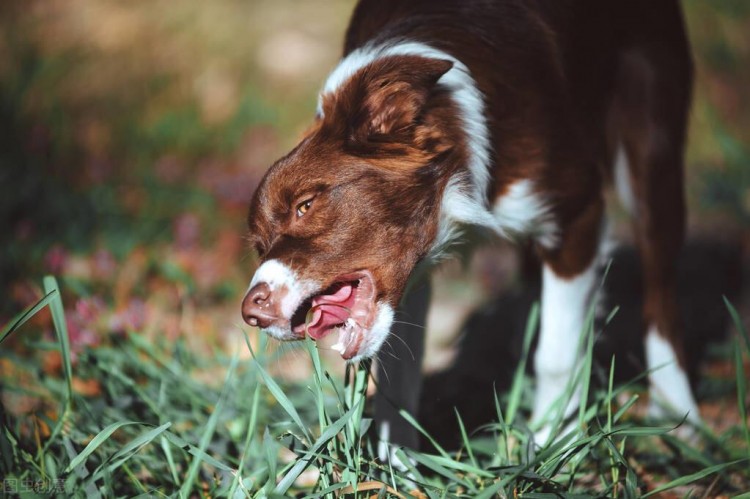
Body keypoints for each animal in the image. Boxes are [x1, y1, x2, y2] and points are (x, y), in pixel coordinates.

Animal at [241, 0, 700, 456]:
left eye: (305, 206)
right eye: (260, 246)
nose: (251, 313)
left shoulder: (577, 215)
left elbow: (555, 353)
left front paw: (552, 444)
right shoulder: (413, 276)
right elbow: (397, 380)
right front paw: (396, 464)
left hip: (651, 139)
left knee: (660, 289)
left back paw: (676, 410)